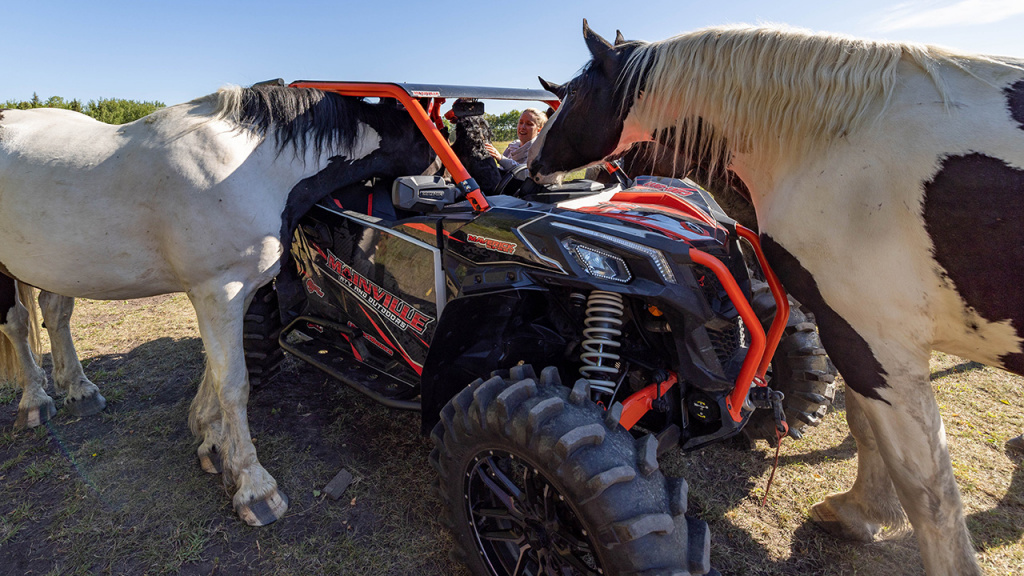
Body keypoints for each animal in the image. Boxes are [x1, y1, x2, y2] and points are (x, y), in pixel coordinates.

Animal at [0, 85, 436, 524]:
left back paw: (79, 390)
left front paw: (212, 441)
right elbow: (234, 384)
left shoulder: (236, 292)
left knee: (55, 312)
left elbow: (215, 372)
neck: (247, 167)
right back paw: (35, 401)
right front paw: (254, 486)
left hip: (58, 267)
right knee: (17, 324)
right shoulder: (218, 292)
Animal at [528, 20, 1024, 569]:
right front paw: (860, 512)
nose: (532, 166)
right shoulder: (853, 331)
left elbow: (930, 496)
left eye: (574, 96)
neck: (833, 144)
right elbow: (866, 427)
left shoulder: (875, 340)